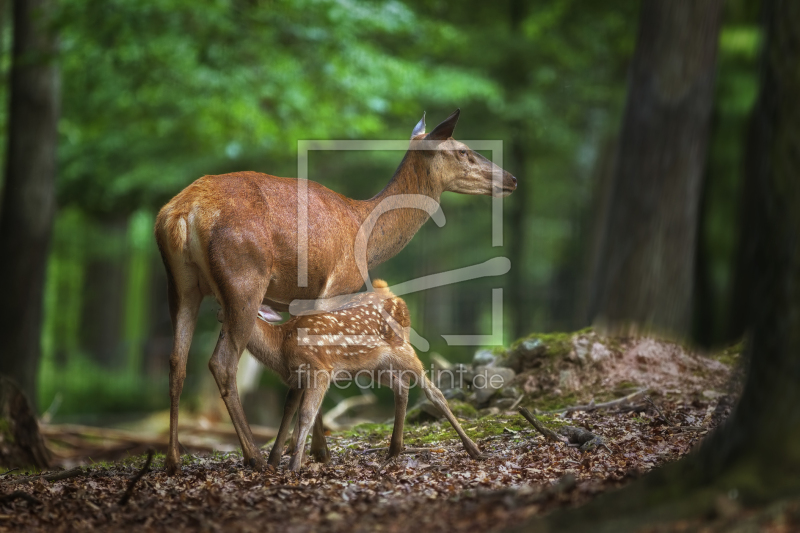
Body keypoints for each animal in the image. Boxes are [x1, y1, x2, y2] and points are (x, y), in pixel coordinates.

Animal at [155, 109, 520, 474]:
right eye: (463, 150)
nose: (512, 178)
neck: (368, 238)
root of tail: (182, 212)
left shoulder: (296, 301)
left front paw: (297, 451)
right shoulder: (336, 284)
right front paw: (315, 452)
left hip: (181, 284)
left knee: (176, 361)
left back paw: (173, 459)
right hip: (244, 279)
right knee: (222, 363)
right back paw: (253, 456)